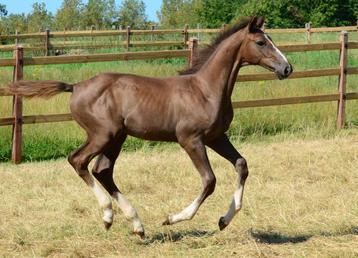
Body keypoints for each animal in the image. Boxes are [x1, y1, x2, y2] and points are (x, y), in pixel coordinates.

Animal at [9, 16, 292, 238]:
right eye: (261, 42)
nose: (287, 68)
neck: (206, 90)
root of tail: (76, 86)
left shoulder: (216, 137)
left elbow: (242, 165)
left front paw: (224, 220)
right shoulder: (191, 140)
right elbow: (209, 181)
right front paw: (173, 218)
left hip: (117, 137)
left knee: (103, 170)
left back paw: (136, 224)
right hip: (103, 135)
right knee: (78, 160)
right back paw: (108, 215)